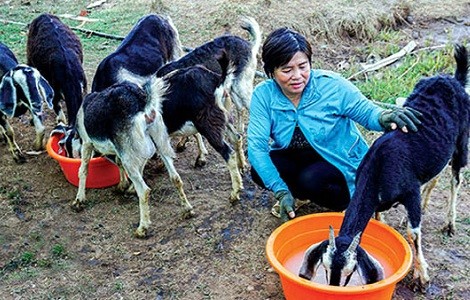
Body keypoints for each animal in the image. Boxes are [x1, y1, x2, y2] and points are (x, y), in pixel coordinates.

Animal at [72, 77, 193, 239]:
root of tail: (142, 102)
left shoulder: (87, 143)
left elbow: (83, 170)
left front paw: (79, 200)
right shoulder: (122, 149)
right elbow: (119, 163)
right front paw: (123, 186)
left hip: (130, 155)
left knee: (144, 190)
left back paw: (142, 228)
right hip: (159, 143)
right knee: (175, 178)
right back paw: (188, 210)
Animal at [300, 44, 468, 288]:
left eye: (350, 270)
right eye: (325, 266)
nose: (332, 288)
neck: (378, 168)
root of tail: (452, 79)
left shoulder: (410, 191)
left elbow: (413, 233)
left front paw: (421, 276)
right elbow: (379, 218)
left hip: (462, 140)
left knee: (456, 177)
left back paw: (449, 224)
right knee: (436, 173)